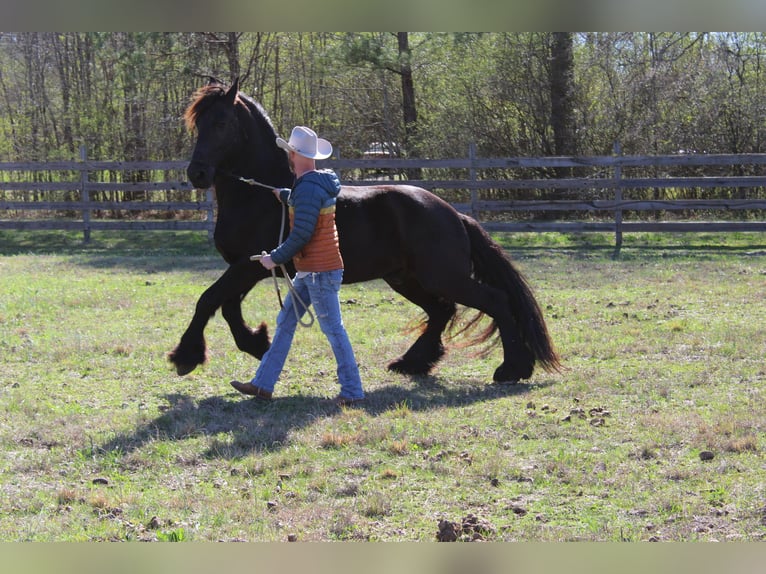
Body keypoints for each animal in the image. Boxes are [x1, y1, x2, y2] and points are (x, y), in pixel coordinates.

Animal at [170, 76, 564, 382]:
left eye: (222, 123)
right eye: (198, 124)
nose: (197, 173)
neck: (263, 193)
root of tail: (453, 215)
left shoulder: (250, 265)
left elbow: (209, 300)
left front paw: (186, 356)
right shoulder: (249, 267)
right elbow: (226, 306)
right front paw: (256, 342)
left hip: (441, 276)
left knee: (493, 301)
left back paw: (512, 369)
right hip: (405, 278)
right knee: (441, 310)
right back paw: (413, 363)